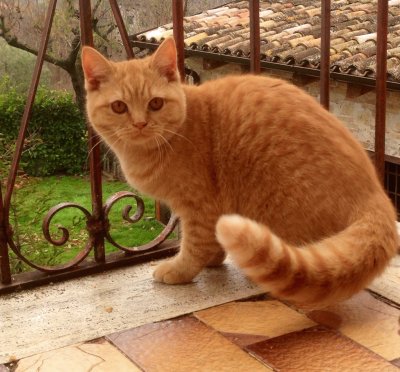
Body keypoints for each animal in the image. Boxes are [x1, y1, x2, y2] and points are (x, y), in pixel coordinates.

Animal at [80, 37, 396, 306]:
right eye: (119, 107)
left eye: (155, 103)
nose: (140, 124)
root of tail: (375, 194)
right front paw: (213, 259)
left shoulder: (199, 207)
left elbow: (194, 245)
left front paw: (180, 270)